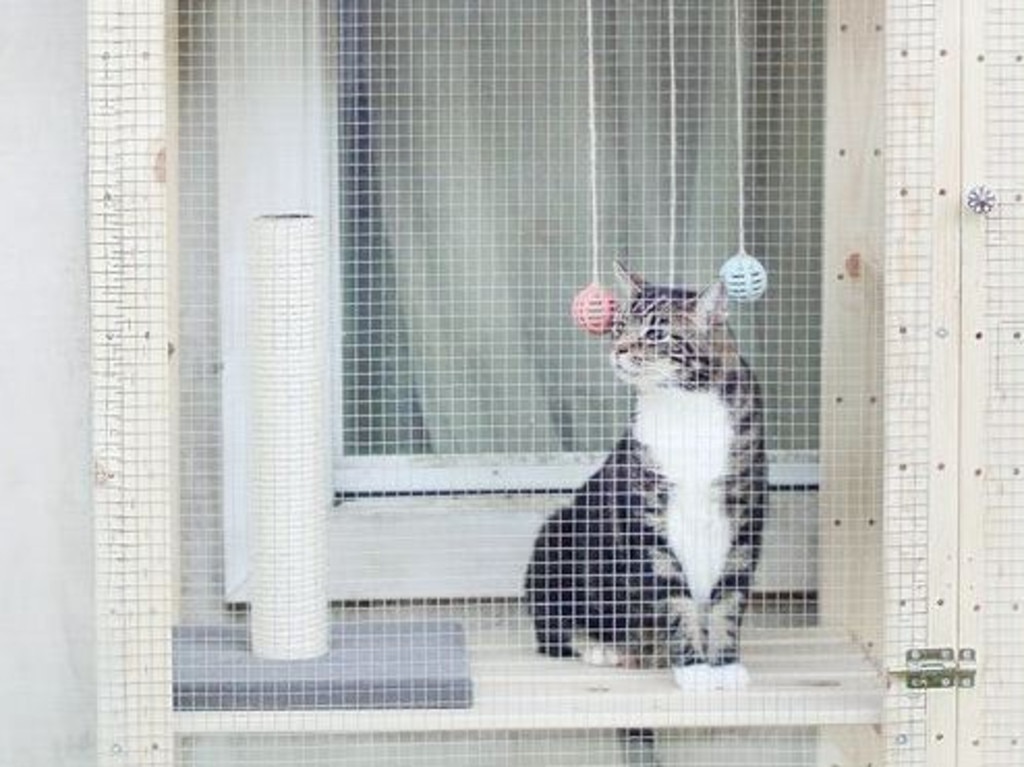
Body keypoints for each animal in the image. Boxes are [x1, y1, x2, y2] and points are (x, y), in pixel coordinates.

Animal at [524, 264, 765, 688]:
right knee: (551, 628)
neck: (684, 409)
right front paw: (695, 668)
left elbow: (729, 596)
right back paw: (603, 647)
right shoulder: (647, 514)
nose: (619, 349)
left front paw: (724, 664)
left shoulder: (745, 509)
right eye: (621, 325)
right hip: (555, 538)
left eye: (657, 333)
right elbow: (674, 595)